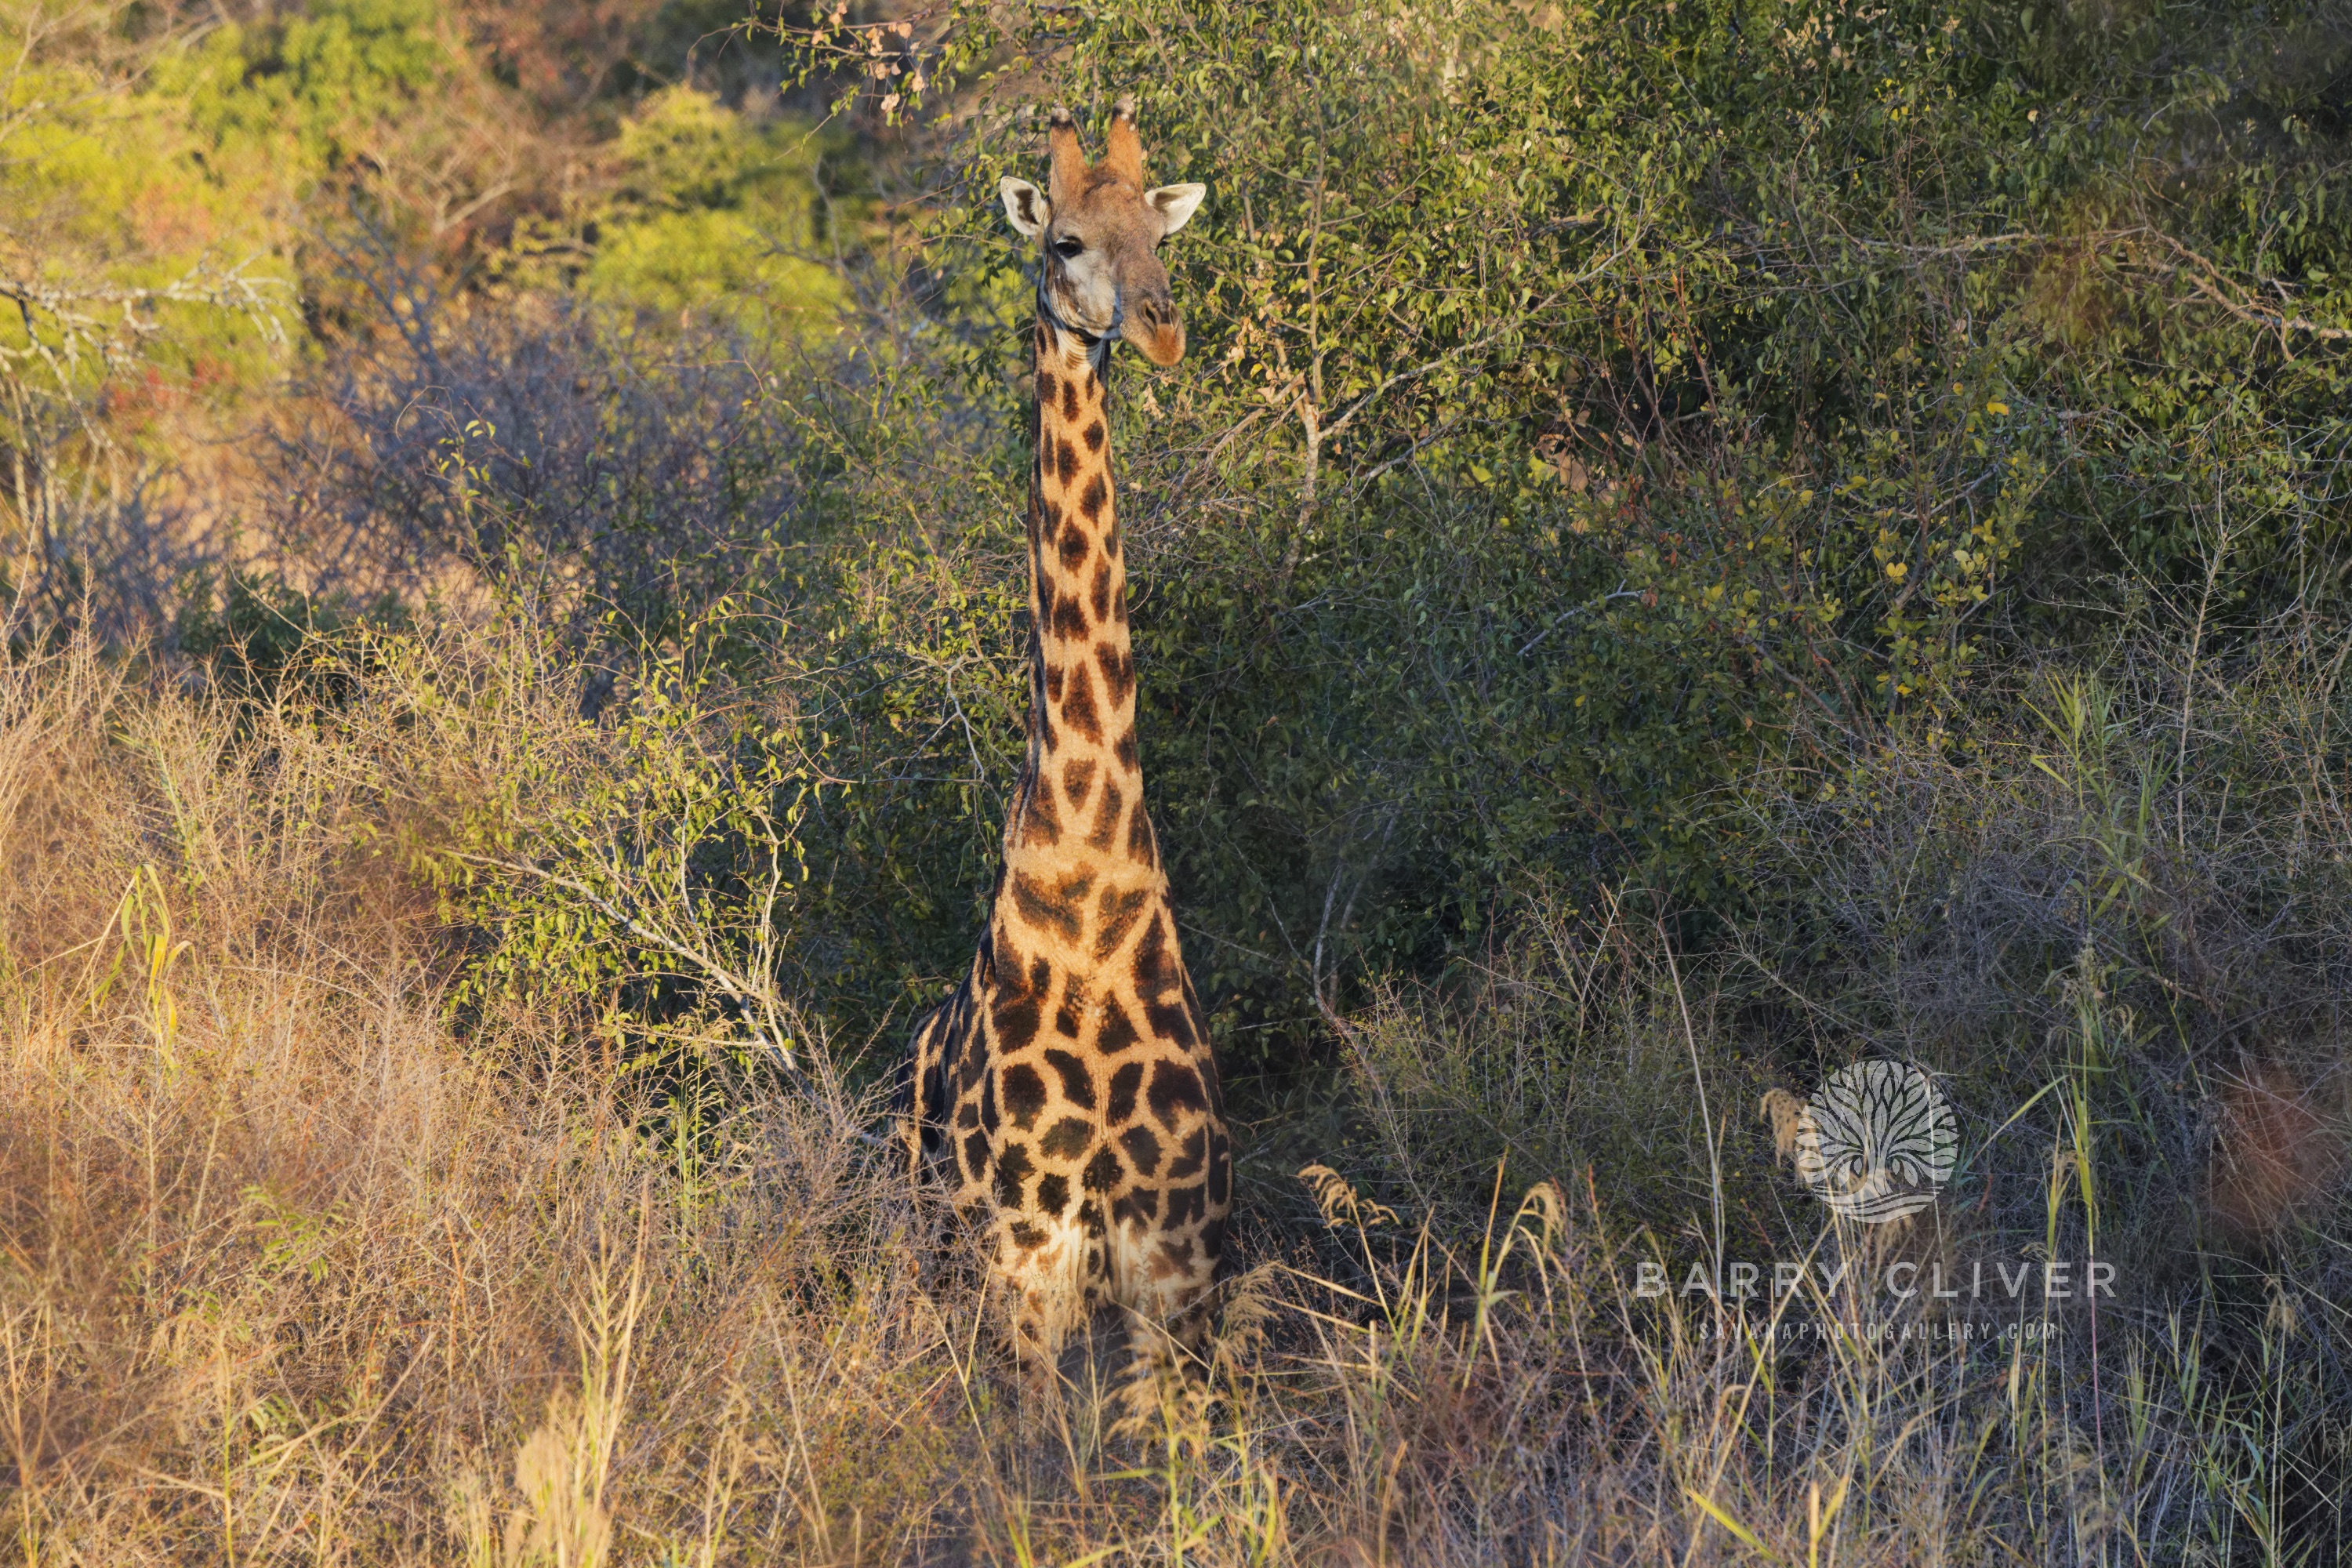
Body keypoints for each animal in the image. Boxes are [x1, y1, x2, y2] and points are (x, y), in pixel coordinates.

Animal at [897, 97, 1227, 1395]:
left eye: (1164, 234)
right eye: (1066, 243)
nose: (1164, 329)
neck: (1089, 881)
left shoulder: (1174, 1258)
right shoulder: (1024, 1254)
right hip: (934, 1249)